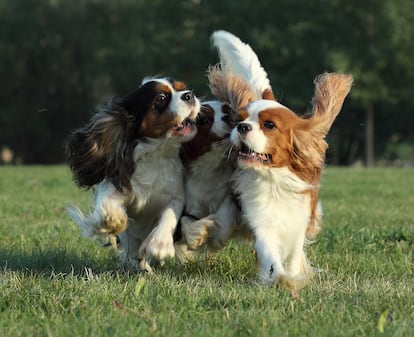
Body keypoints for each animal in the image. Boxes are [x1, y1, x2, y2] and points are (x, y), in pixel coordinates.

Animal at [65, 76, 200, 270]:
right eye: (161, 98)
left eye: (183, 88)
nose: (190, 95)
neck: (157, 153)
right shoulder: (118, 185)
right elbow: (107, 205)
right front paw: (113, 220)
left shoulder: (176, 195)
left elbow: (169, 215)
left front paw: (160, 245)